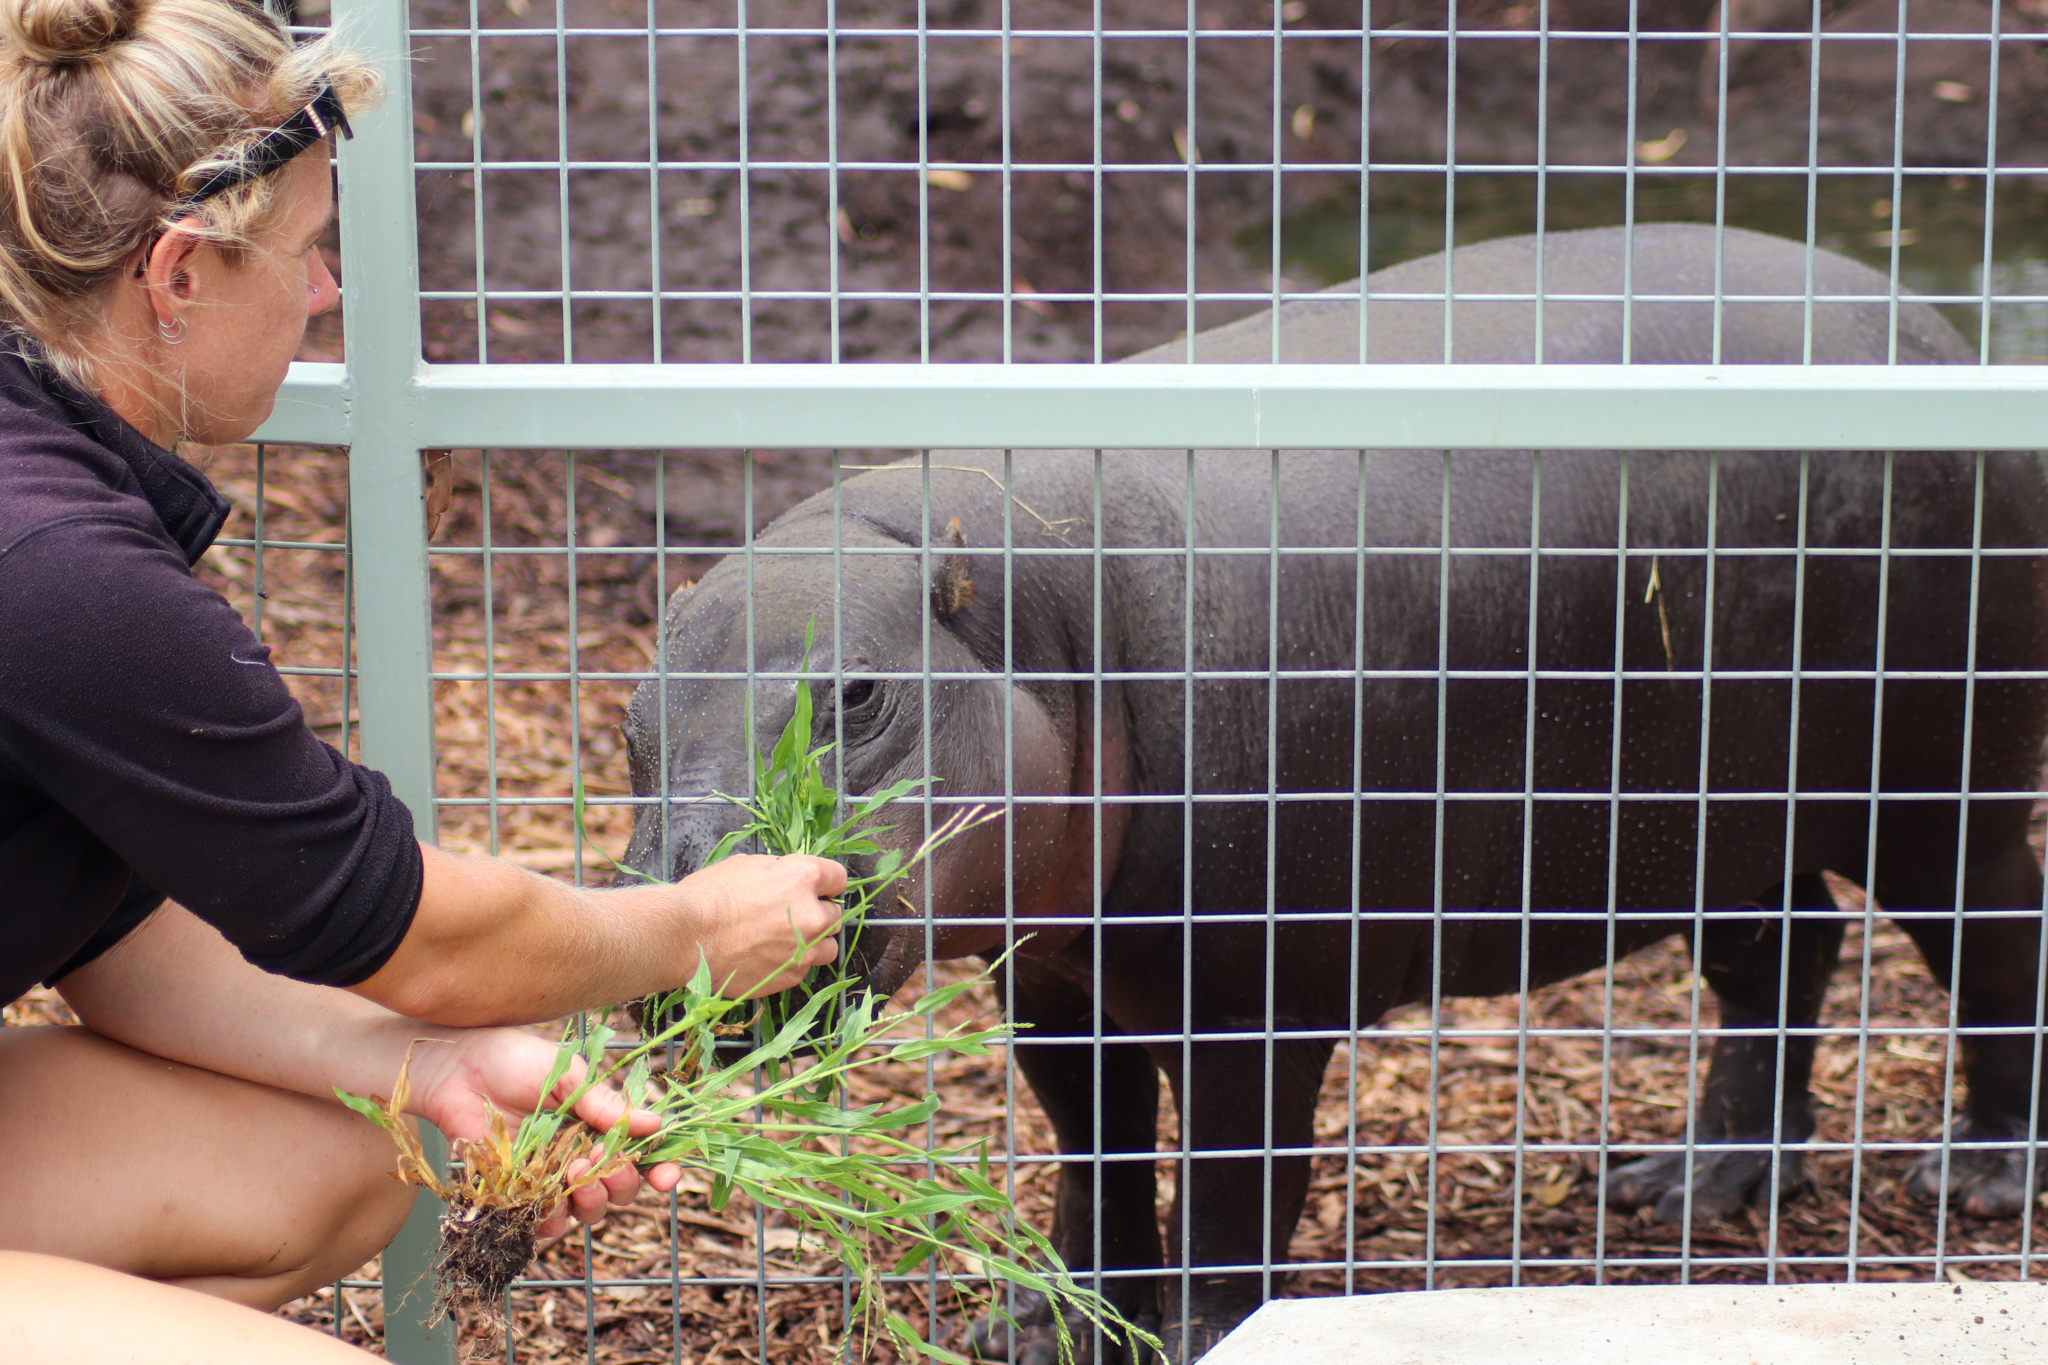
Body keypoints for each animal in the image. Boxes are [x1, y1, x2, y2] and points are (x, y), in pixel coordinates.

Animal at [621, 224, 2048, 1363]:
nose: (697, 907)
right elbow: (1092, 1158)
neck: (1031, 621)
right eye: (632, 712)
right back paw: (1681, 1188)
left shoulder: (1253, 1000)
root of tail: (1925, 327)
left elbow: (1231, 1190)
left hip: (1938, 788)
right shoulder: (1055, 979)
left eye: (859, 694)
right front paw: (1044, 1328)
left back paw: (1976, 1179)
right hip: (1718, 819)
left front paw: (1191, 1337)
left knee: (1994, 930)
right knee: (1784, 952)